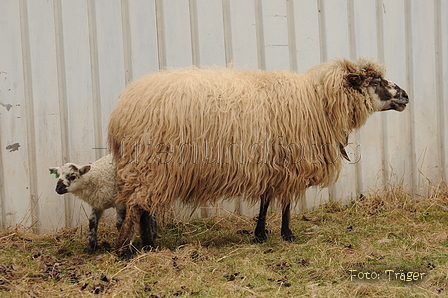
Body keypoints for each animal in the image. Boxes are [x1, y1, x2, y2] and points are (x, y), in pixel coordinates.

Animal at [108, 58, 410, 258]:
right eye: (376, 81)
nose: (406, 96)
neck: (319, 103)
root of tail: (123, 109)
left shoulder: (271, 164)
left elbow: (266, 201)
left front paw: (261, 234)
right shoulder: (291, 163)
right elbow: (286, 204)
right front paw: (287, 235)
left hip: (149, 168)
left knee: (143, 205)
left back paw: (149, 244)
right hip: (151, 163)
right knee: (136, 206)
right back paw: (125, 250)